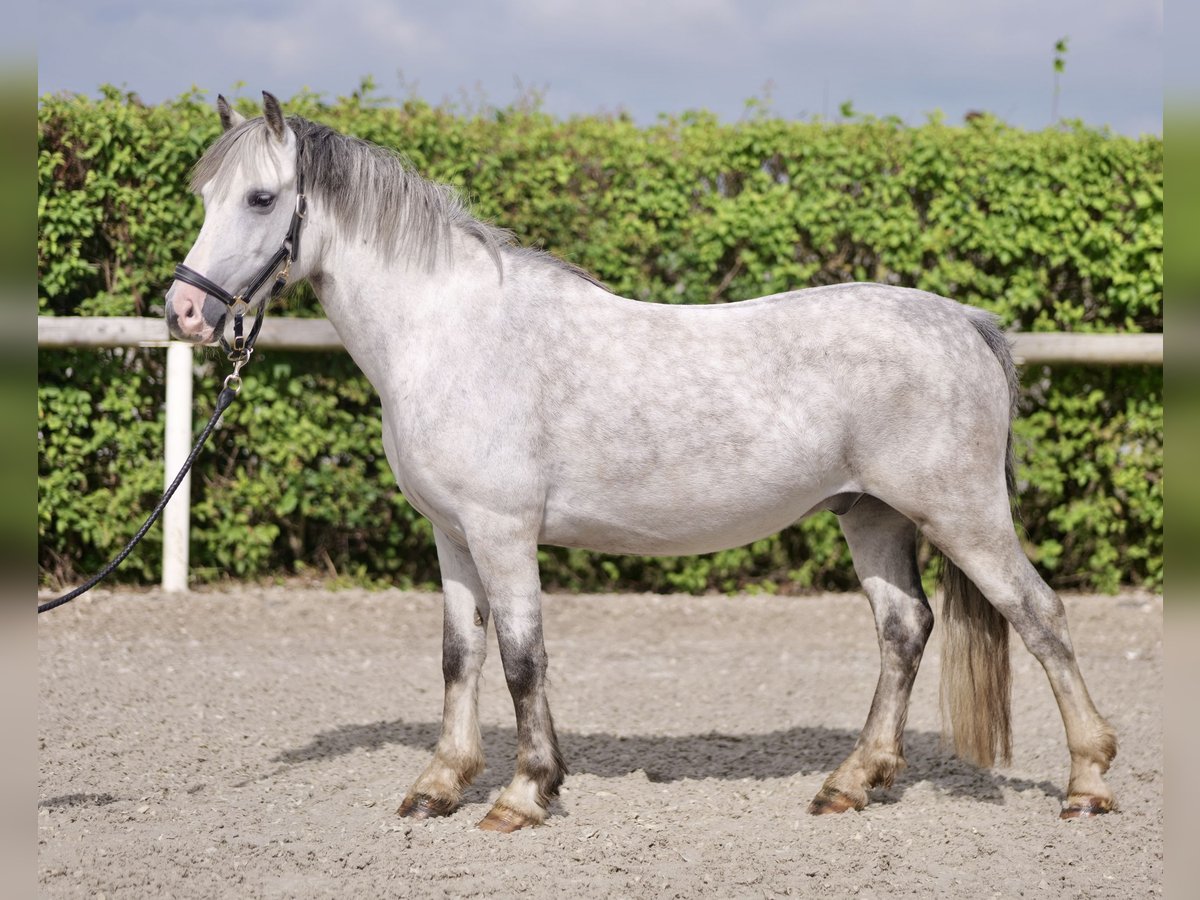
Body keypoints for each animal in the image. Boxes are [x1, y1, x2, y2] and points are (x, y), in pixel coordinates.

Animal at [166, 93, 1113, 830]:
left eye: (261, 197)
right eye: (203, 192)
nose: (185, 311)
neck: (453, 333)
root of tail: (966, 322)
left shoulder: (504, 532)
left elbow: (521, 658)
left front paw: (523, 794)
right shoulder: (452, 535)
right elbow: (460, 656)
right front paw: (439, 785)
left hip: (962, 514)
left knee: (1040, 617)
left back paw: (1088, 781)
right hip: (870, 515)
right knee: (904, 629)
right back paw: (851, 783)